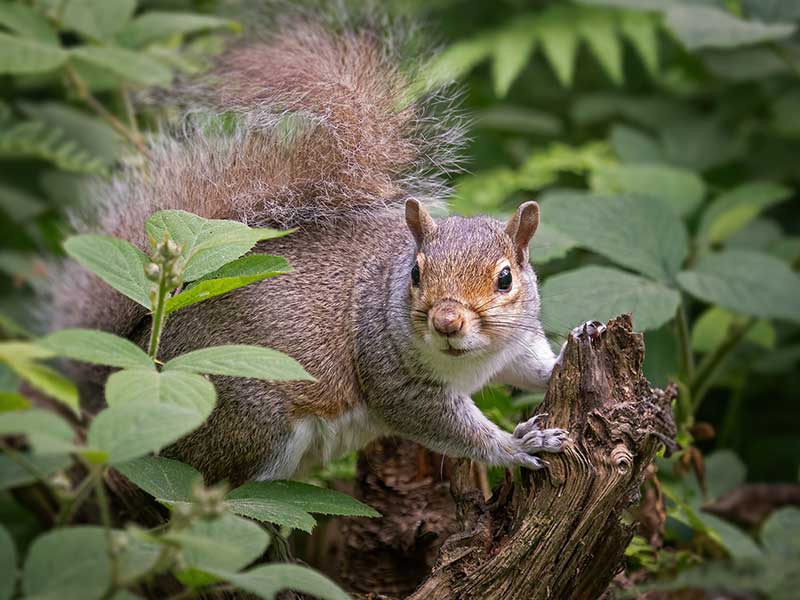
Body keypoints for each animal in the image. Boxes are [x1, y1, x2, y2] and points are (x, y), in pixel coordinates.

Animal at [50, 17, 573, 487]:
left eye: (505, 278)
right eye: (416, 274)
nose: (447, 321)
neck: (471, 361)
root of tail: (138, 361)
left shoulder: (515, 345)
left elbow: (534, 368)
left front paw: (569, 350)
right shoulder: (392, 376)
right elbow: (446, 427)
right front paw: (520, 444)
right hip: (251, 423)